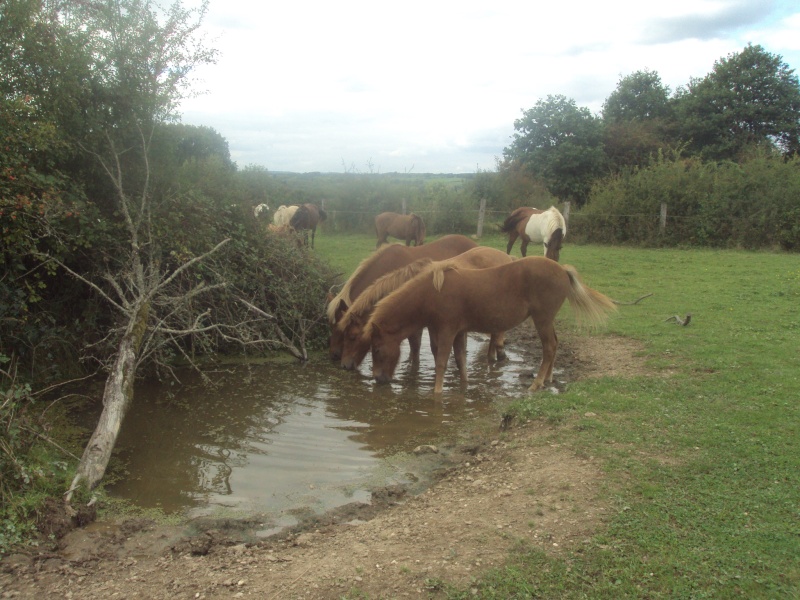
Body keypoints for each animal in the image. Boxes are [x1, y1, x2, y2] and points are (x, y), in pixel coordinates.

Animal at [362, 256, 620, 394]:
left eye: (376, 349)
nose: (378, 379)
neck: (432, 293)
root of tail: (562, 269)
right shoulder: (457, 332)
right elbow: (460, 360)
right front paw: (464, 387)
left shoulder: (446, 331)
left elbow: (442, 361)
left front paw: (437, 393)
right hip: (547, 320)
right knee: (555, 345)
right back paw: (547, 379)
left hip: (542, 319)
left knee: (549, 348)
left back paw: (536, 384)